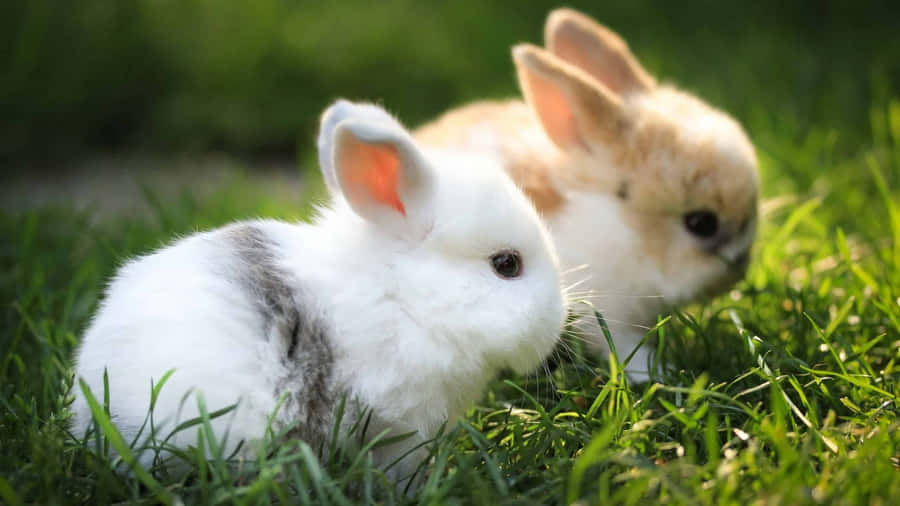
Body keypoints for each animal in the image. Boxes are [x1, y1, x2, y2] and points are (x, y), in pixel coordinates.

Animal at [415, 8, 759, 381]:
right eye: (701, 223)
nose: (739, 268)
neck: (622, 227)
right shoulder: (606, 312)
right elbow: (624, 346)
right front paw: (658, 374)